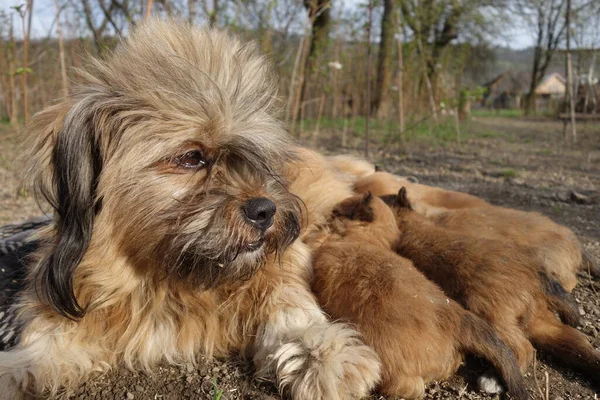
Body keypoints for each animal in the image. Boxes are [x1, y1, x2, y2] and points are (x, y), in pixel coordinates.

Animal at [0, 20, 380, 398]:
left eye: (253, 158)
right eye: (192, 157)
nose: (265, 210)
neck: (167, 282)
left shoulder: (283, 261)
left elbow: (287, 301)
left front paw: (318, 351)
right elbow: (39, 351)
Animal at [308, 192, 528, 398]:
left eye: (337, 212)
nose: (326, 214)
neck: (366, 238)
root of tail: (458, 318)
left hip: (388, 361)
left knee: (409, 387)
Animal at [384, 188, 600, 390]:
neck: (410, 220)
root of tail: (536, 274)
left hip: (491, 312)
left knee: (524, 348)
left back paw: (492, 379)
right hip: (539, 323)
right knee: (575, 341)